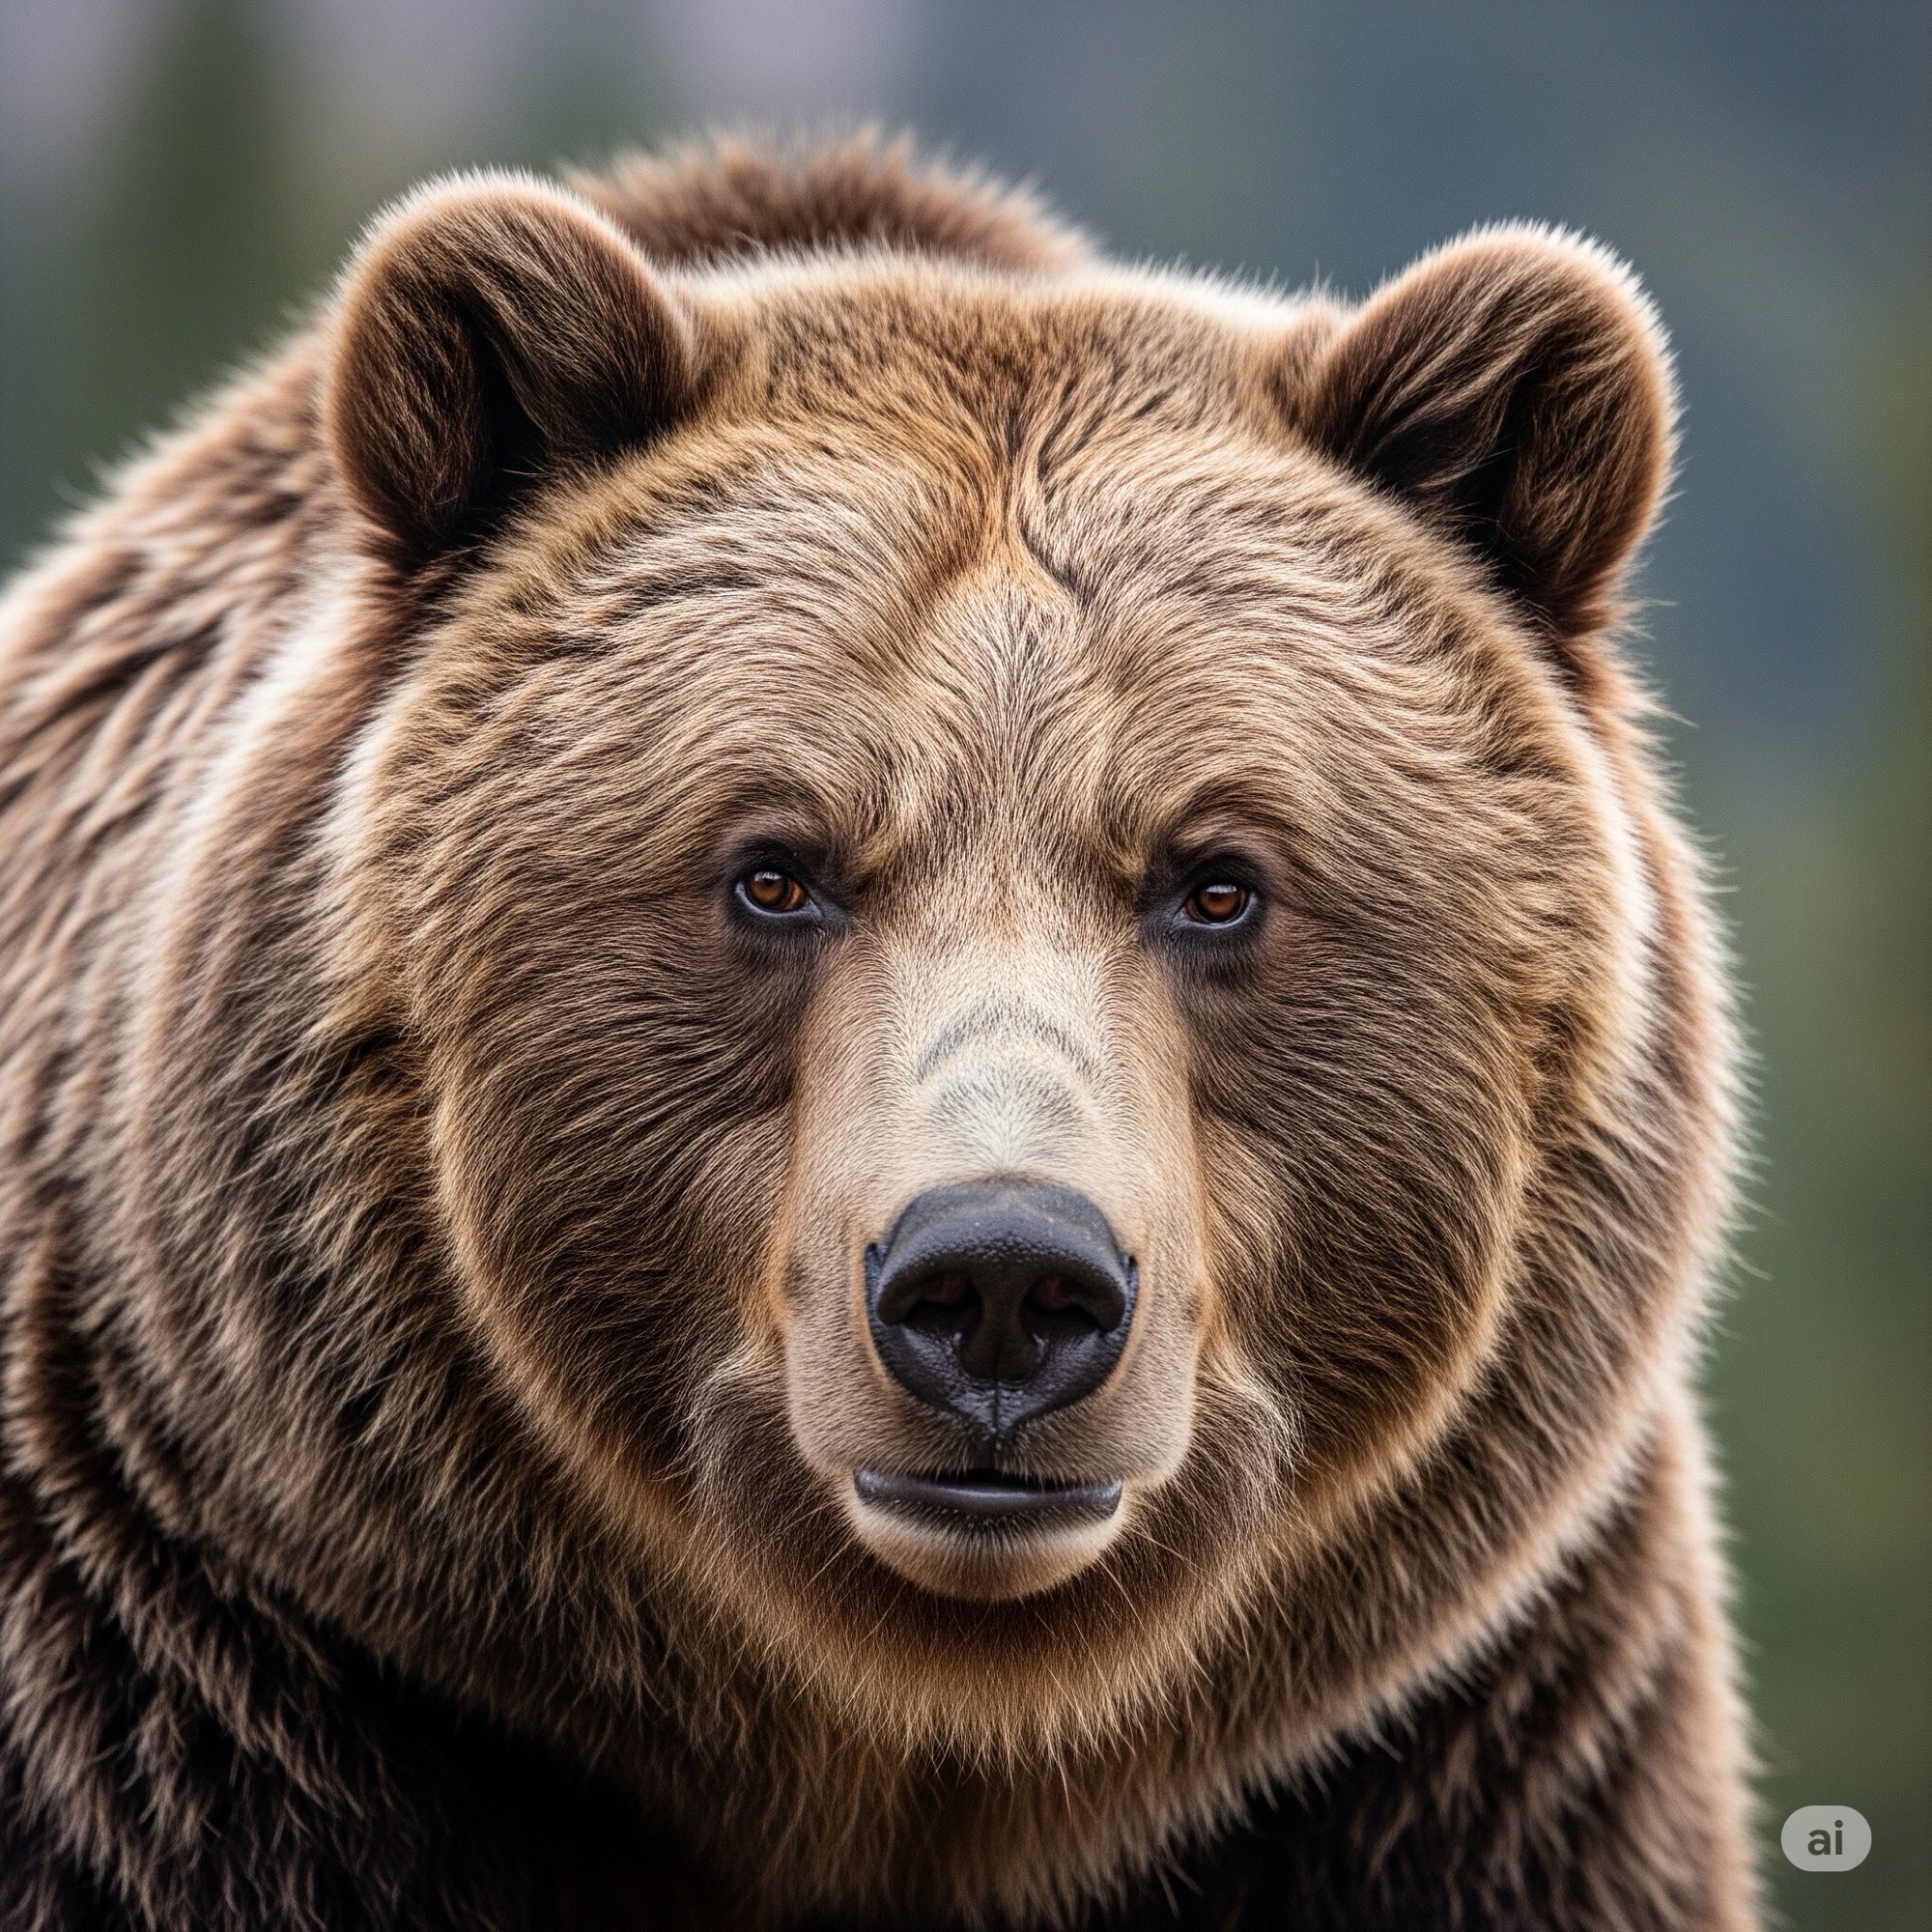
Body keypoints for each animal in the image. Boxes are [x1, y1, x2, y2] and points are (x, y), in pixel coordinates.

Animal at [0, 132, 1758, 1929]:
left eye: (1217, 882)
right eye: (775, 870)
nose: (1000, 1284)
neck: (888, 1759)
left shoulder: (1467, 1761)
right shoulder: (209, 1683)